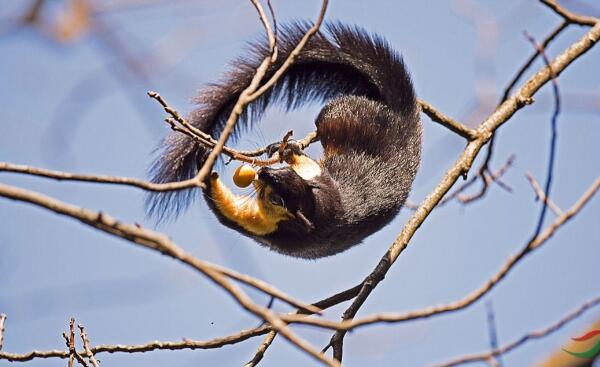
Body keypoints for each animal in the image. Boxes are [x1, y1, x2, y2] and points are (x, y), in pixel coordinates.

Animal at [148, 22, 422, 258]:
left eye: (276, 199)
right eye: (285, 175)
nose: (264, 174)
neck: (318, 211)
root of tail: (406, 117)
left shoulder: (269, 227)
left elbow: (228, 211)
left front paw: (206, 166)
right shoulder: (318, 182)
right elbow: (309, 165)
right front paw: (285, 149)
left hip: (343, 114)